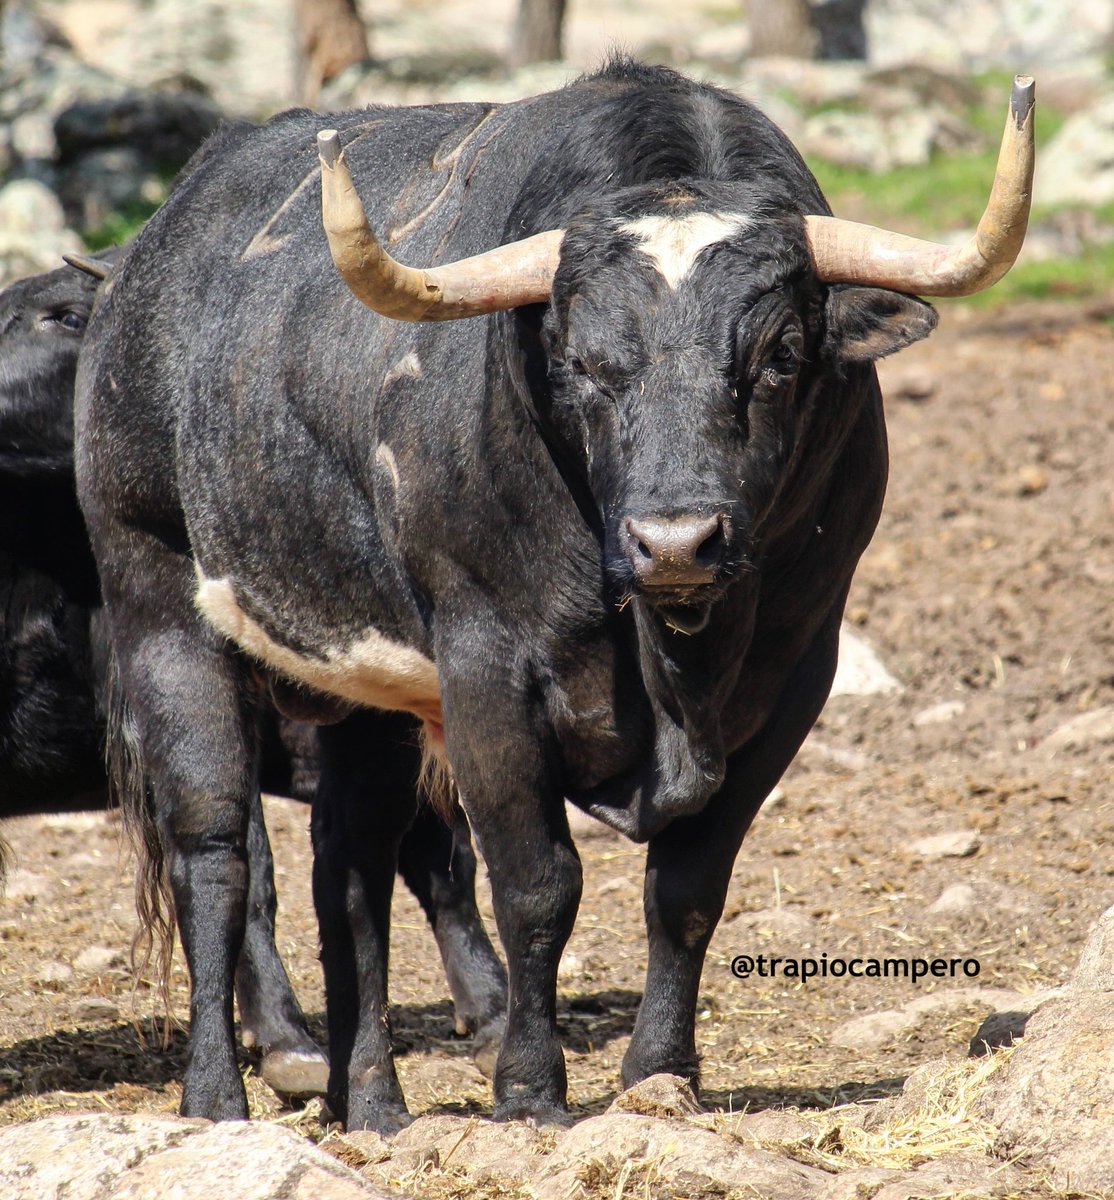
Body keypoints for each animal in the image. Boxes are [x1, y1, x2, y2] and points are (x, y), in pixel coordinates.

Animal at [74, 60, 1034, 1130]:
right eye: (581, 364)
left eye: (780, 357)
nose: (676, 541)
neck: (672, 664)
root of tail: (146, 260)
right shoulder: (488, 672)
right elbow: (538, 885)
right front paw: (530, 1086)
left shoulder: (792, 678)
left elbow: (688, 886)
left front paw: (661, 1073)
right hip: (159, 607)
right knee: (215, 851)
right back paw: (217, 1095)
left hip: (367, 691)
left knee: (349, 871)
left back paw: (373, 1106)